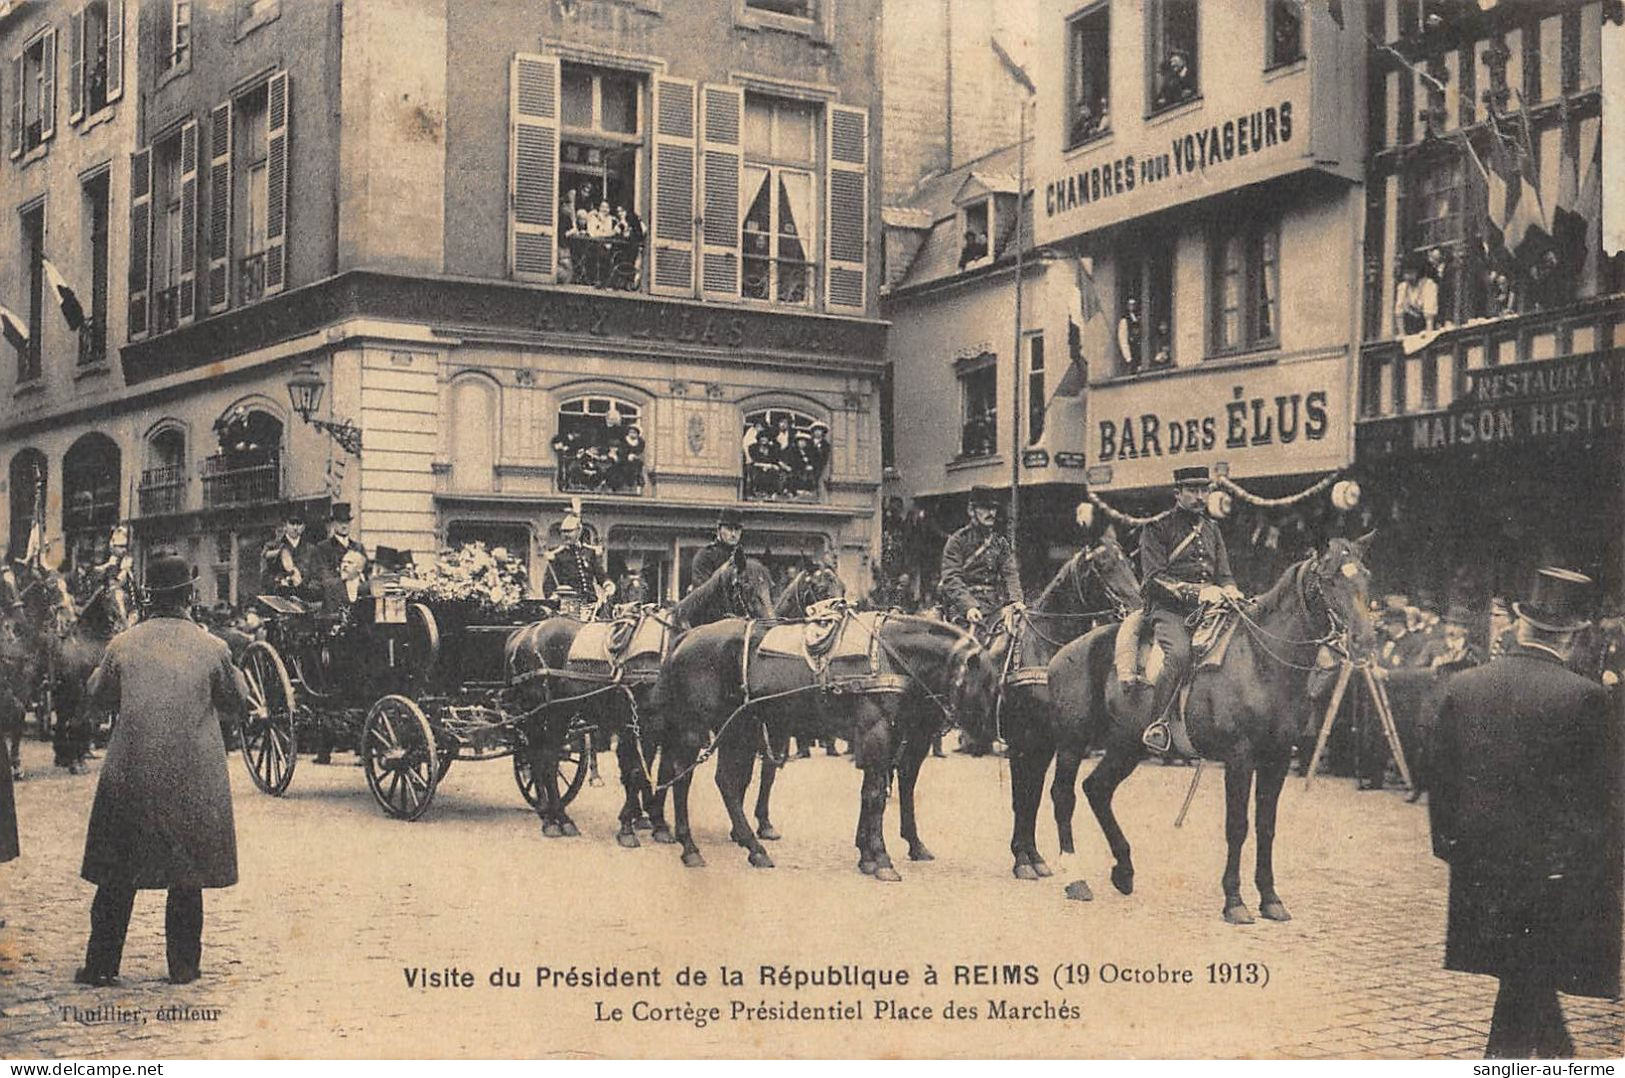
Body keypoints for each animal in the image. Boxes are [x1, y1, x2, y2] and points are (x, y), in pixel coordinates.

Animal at [503, 556, 776, 845]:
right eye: (744, 585)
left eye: (771, 585)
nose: (769, 629)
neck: (674, 645)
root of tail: (526, 631)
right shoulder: (644, 724)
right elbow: (637, 771)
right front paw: (628, 826)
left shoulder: (668, 727)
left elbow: (662, 771)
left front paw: (657, 822)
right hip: (540, 712)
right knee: (540, 756)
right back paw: (553, 819)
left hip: (561, 712)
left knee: (547, 756)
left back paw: (555, 815)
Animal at [656, 611, 988, 884]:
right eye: (985, 681)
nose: (984, 736)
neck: (888, 656)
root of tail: (686, 637)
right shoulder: (876, 734)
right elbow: (876, 795)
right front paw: (882, 859)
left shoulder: (889, 739)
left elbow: (875, 792)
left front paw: (868, 855)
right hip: (695, 729)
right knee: (682, 779)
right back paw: (691, 847)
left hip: (738, 729)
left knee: (725, 781)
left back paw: (754, 848)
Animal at [962, 533, 1144, 884]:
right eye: (1103, 565)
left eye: (1129, 561)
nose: (1137, 610)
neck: (1047, 651)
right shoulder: (1023, 741)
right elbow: (1022, 797)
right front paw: (1022, 860)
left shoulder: (1047, 743)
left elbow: (1032, 799)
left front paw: (1033, 857)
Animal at [1046, 536, 1378, 923]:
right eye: (1330, 580)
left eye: (1366, 576)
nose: (1364, 641)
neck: (1262, 660)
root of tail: (1065, 652)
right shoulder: (1239, 757)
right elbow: (1238, 826)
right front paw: (1234, 901)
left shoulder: (1278, 758)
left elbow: (1266, 827)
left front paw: (1270, 899)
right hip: (1073, 743)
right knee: (1064, 796)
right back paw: (1075, 878)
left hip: (1127, 745)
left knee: (1097, 789)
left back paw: (1124, 870)